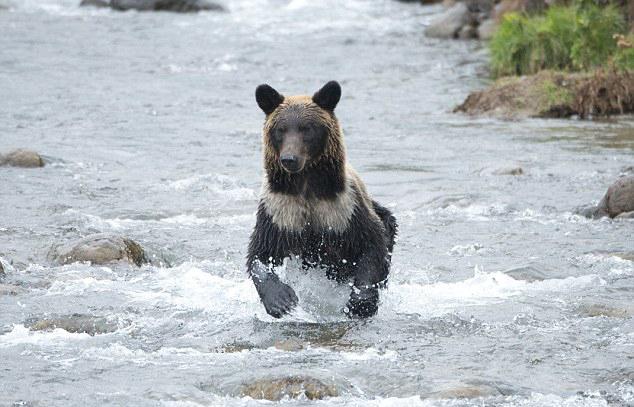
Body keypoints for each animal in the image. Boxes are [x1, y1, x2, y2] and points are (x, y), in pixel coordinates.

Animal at [247, 81, 396, 320]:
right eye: (281, 129)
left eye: (306, 128)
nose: (289, 159)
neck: (306, 184)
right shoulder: (279, 210)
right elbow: (261, 252)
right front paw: (282, 300)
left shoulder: (345, 208)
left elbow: (371, 245)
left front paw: (360, 303)